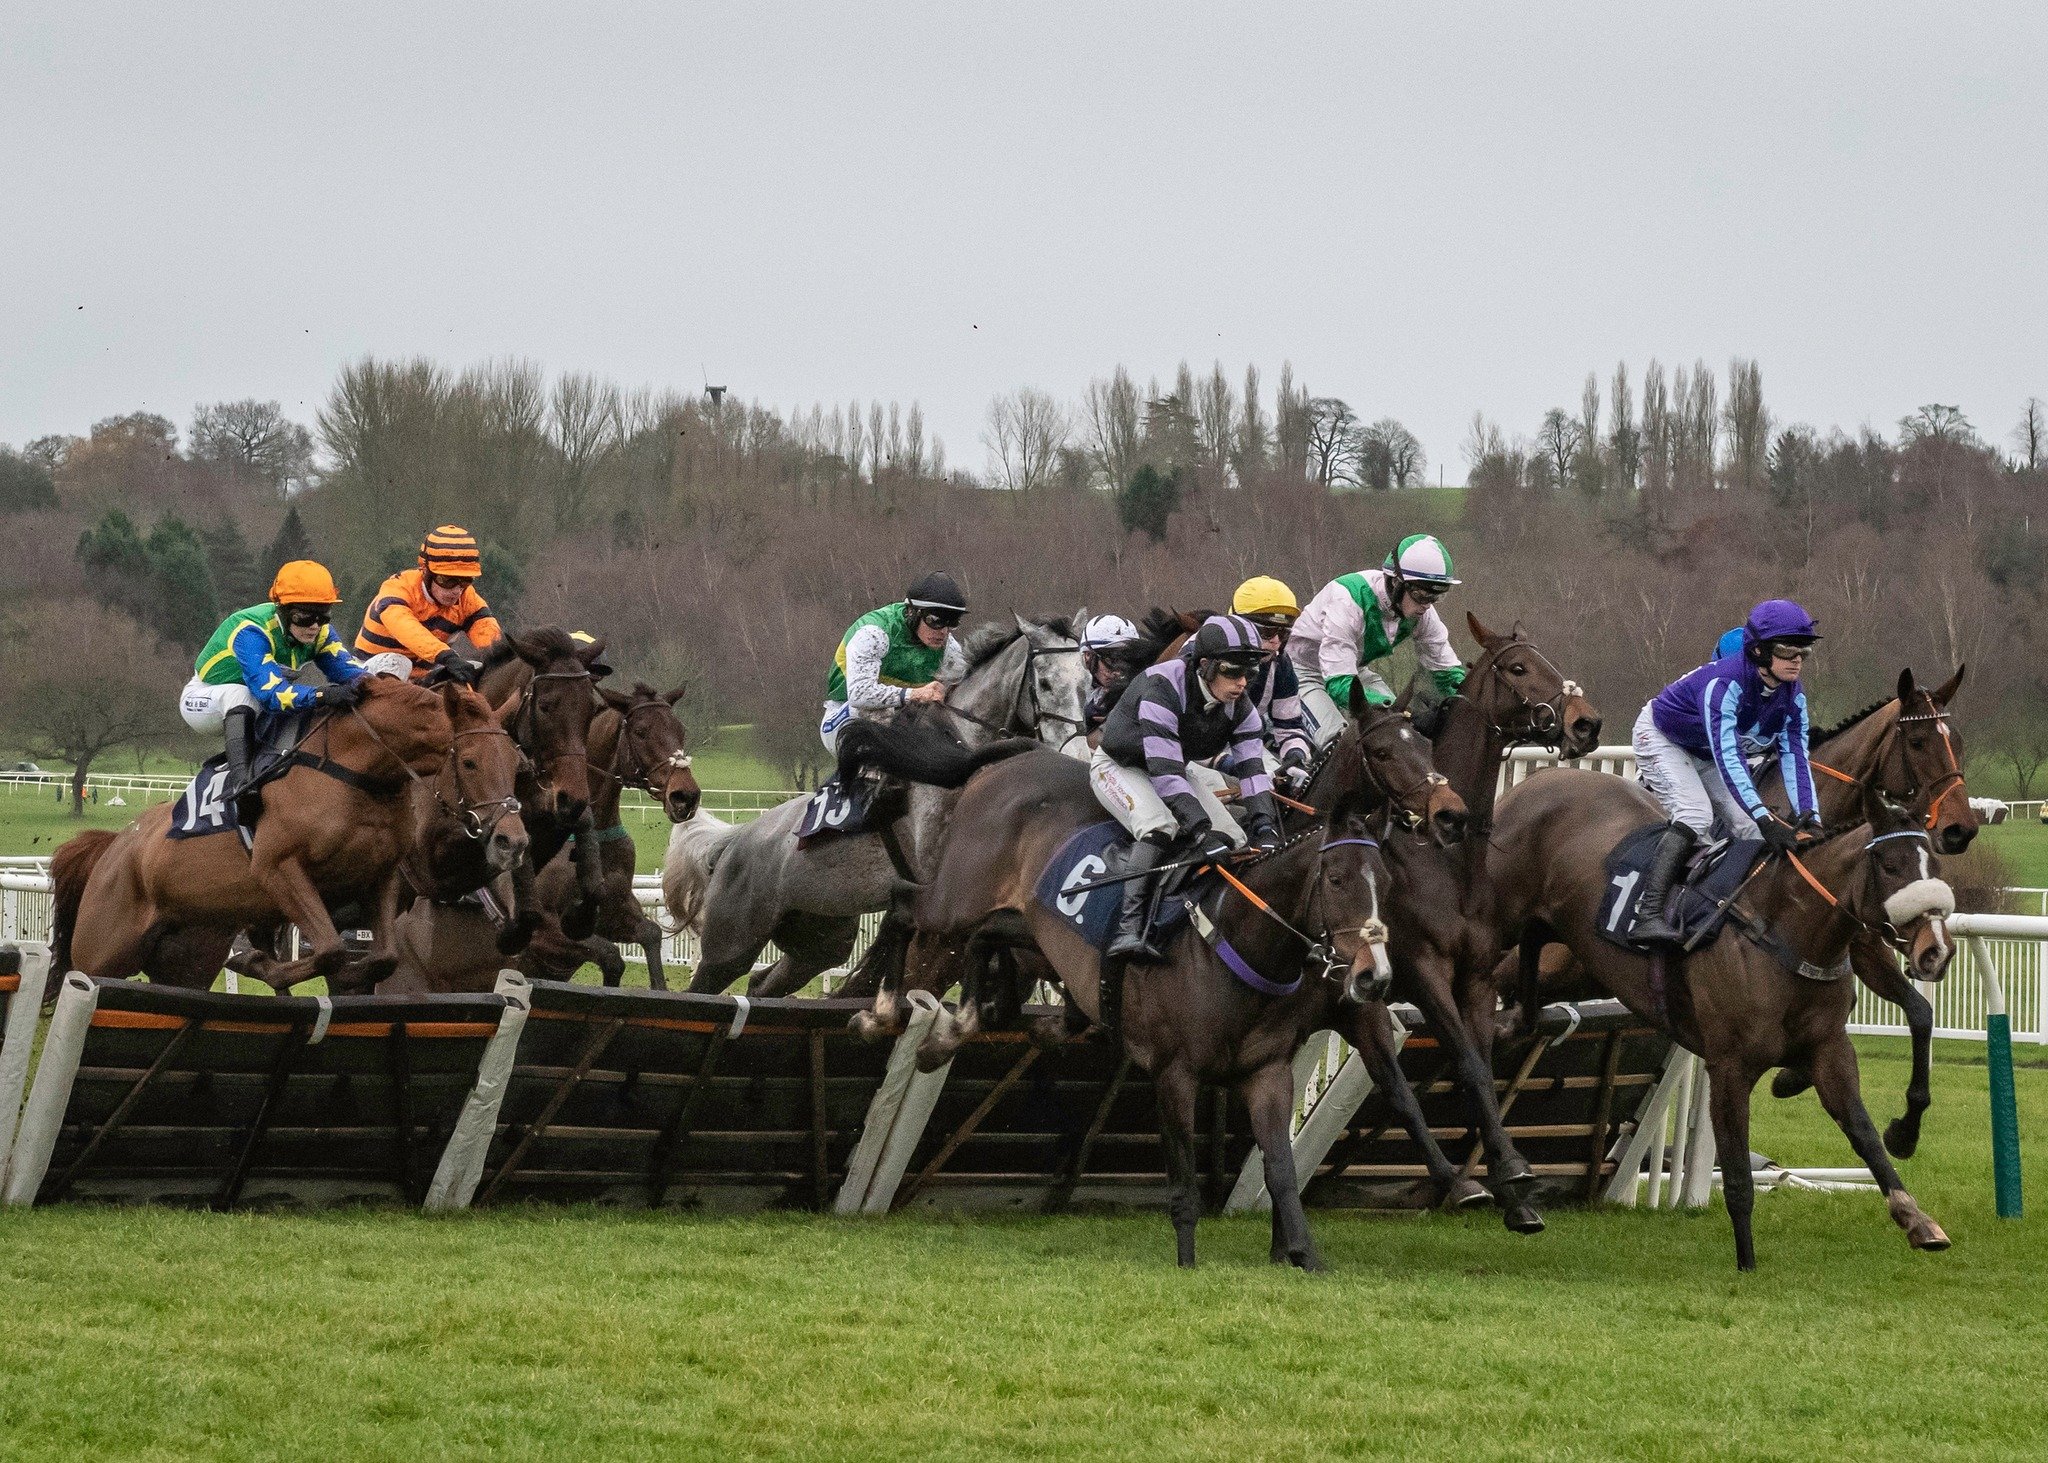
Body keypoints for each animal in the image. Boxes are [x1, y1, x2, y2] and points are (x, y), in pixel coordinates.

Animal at [55, 676, 524, 995]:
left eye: (517, 762)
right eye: (469, 762)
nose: (514, 842)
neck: (355, 772)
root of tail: (115, 847)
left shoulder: (382, 877)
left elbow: (383, 958)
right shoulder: (278, 869)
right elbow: (331, 949)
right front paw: (255, 962)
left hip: (187, 959)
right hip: (102, 954)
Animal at [667, 610, 1097, 995]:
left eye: (1089, 681)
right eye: (1045, 683)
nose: (1078, 754)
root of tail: (733, 842)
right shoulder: (937, 870)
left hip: (819, 938)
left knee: (764, 983)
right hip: (732, 942)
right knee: (709, 984)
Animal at [835, 696, 1474, 1262]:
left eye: (1385, 885)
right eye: (1384, 751)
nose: (1450, 812)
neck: (1238, 936)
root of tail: (1012, 758)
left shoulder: (1295, 1048)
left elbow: (1321, 1137)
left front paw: (1306, 1248)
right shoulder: (1180, 1069)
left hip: (1020, 919)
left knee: (984, 942)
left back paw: (960, 1026)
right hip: (956, 898)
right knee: (903, 905)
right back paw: (883, 1012)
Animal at [1499, 762, 1957, 1262]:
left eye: (1936, 865)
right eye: (1890, 866)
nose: (1937, 951)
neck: (1786, 933)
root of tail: (1539, 778)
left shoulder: (1829, 1049)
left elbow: (1864, 1132)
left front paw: (1916, 1213)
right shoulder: (1729, 1065)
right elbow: (1737, 1175)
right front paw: (1747, 1264)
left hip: (1578, 967)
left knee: (1521, 979)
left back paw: (1513, 1021)